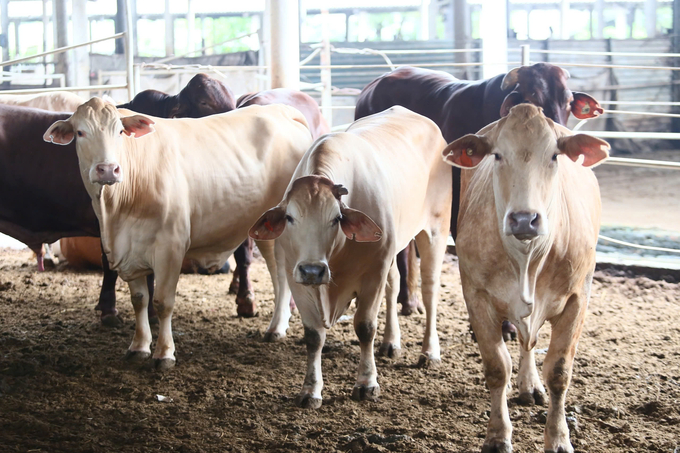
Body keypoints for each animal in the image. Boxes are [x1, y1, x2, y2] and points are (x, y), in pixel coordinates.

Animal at [43, 98, 314, 368]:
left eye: (119, 131)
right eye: (80, 132)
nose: (108, 169)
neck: (116, 210)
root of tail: (279, 110)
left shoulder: (170, 246)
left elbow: (163, 302)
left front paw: (164, 353)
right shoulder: (128, 250)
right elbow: (139, 300)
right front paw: (139, 346)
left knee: (281, 276)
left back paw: (276, 327)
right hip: (267, 229)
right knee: (278, 273)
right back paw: (279, 326)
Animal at [250, 106, 452, 406]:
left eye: (336, 218)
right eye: (289, 217)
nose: (313, 270)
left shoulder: (373, 274)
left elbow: (365, 327)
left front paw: (367, 383)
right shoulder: (297, 279)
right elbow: (313, 336)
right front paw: (310, 390)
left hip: (436, 230)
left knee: (429, 291)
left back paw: (430, 352)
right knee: (393, 286)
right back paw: (391, 342)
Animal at [444, 103, 608, 452]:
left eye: (555, 155)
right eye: (496, 155)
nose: (524, 219)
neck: (527, 262)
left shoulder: (578, 298)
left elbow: (559, 371)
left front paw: (558, 438)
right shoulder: (475, 296)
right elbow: (497, 368)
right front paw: (497, 436)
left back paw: (530, 385)